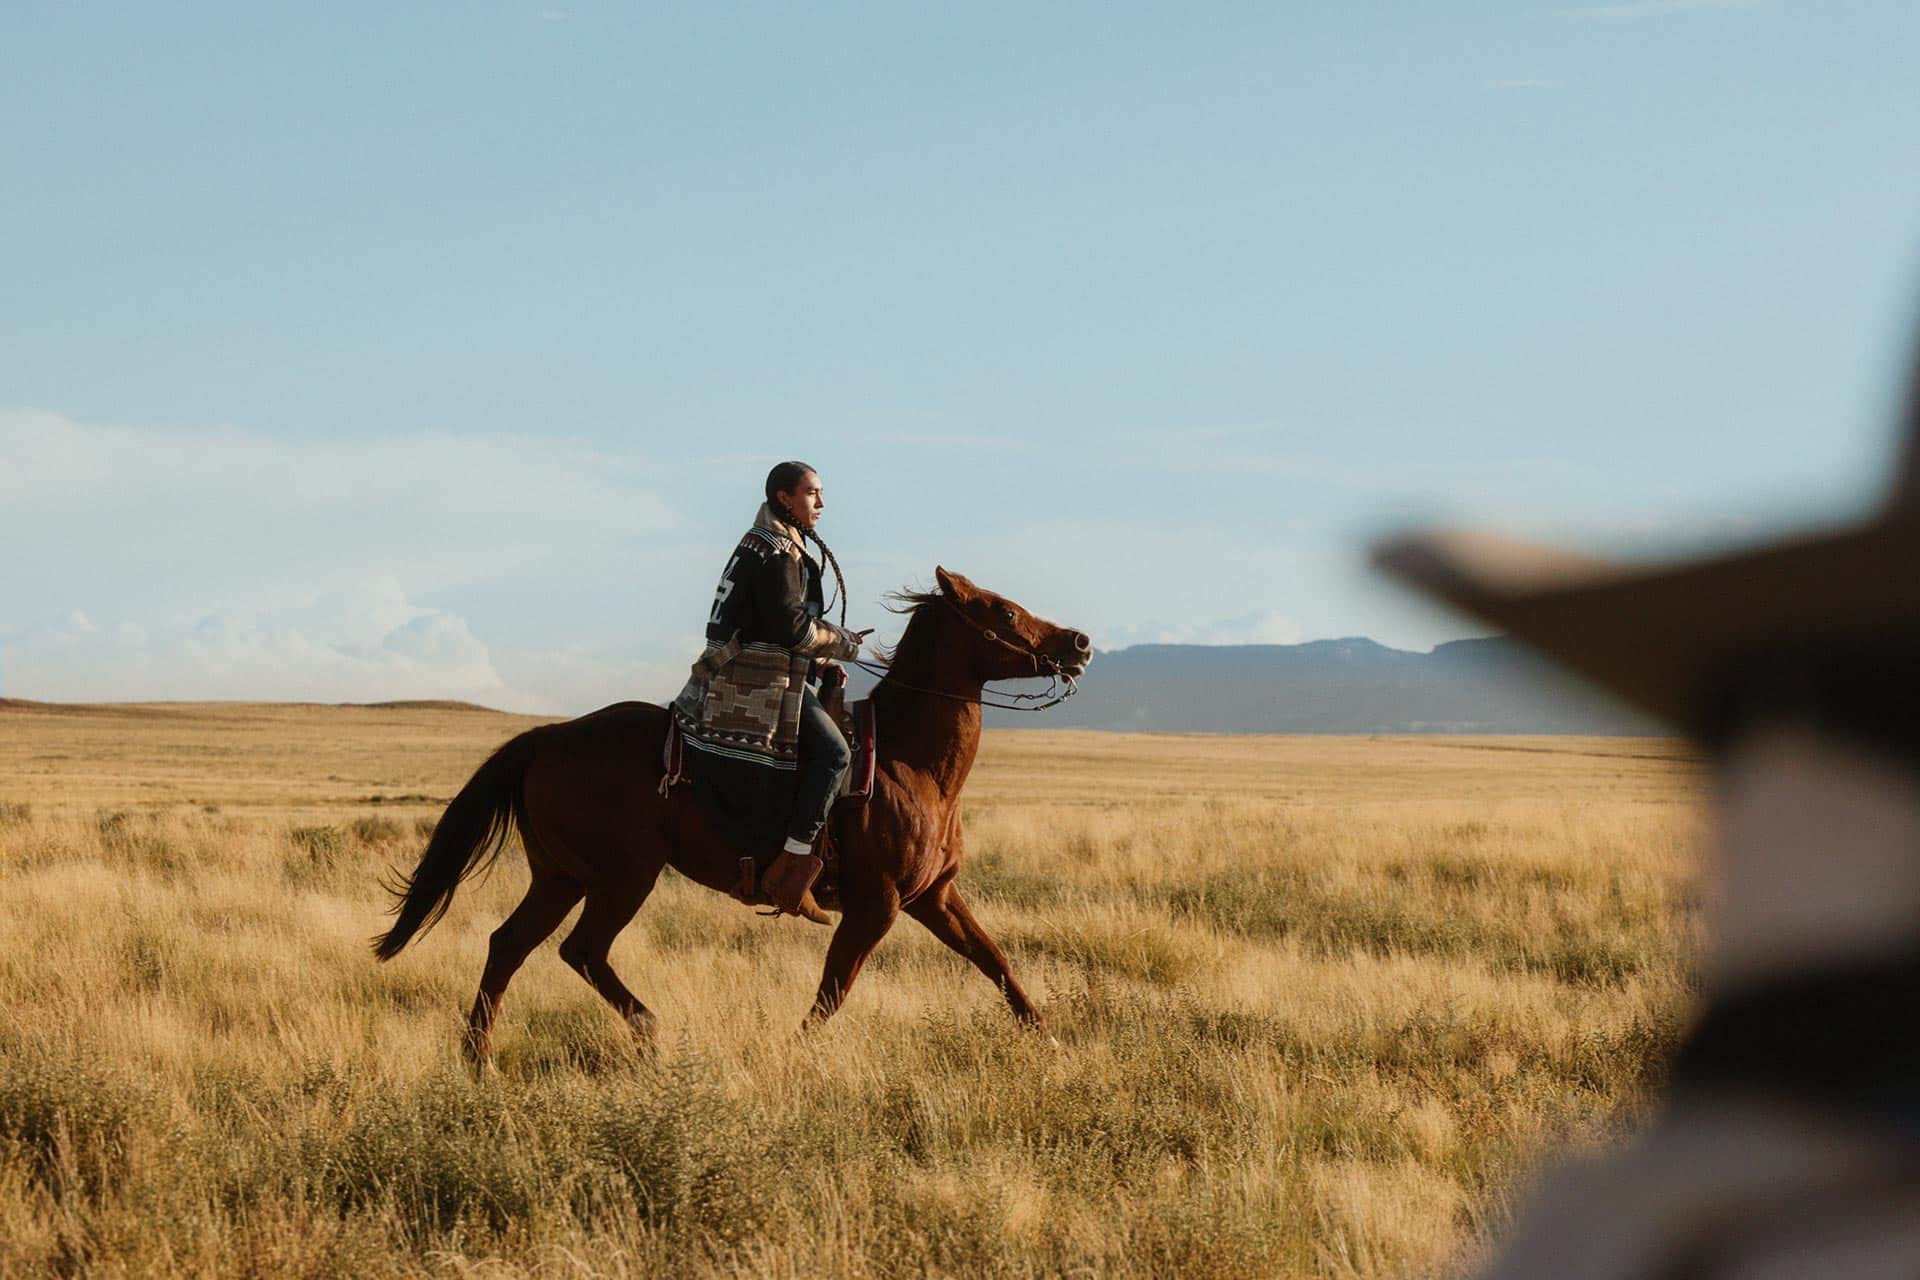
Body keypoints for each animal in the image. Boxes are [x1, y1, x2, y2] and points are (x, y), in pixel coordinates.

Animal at [370, 564, 1098, 1066]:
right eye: (1003, 609)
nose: (1080, 642)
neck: (908, 762)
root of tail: (547, 738)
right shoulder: (878, 906)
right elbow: (834, 990)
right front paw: (790, 1055)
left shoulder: (933, 897)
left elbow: (996, 963)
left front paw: (1051, 1044)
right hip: (623, 877)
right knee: (581, 950)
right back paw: (651, 1031)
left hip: (560, 878)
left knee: (509, 946)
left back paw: (479, 1060)